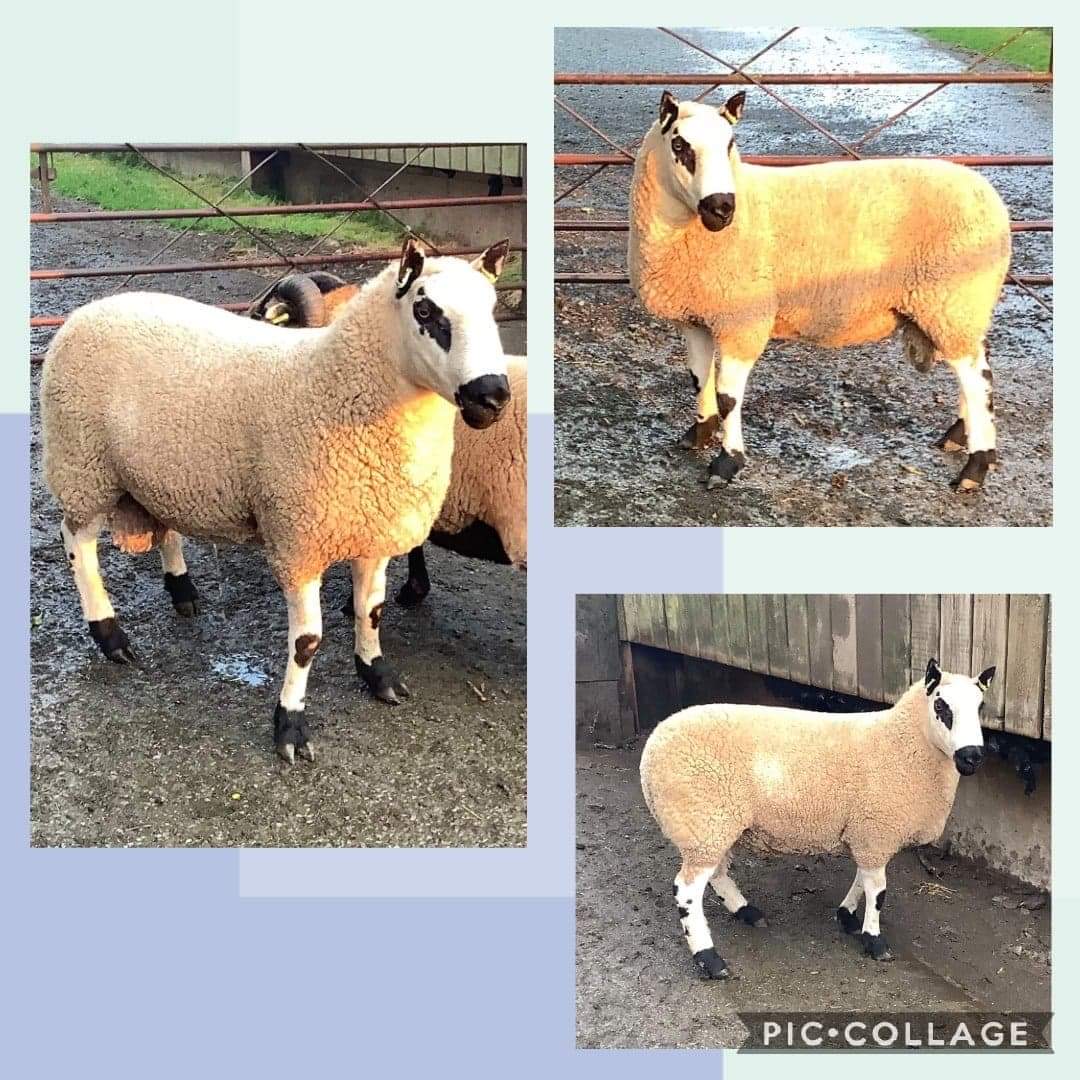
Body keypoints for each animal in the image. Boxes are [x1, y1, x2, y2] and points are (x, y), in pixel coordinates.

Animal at [628, 90, 1012, 492]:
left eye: (731, 144)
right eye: (679, 145)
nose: (722, 207)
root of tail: (990, 198)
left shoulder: (743, 319)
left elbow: (728, 396)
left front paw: (727, 463)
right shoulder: (696, 316)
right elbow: (698, 380)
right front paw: (698, 434)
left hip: (952, 298)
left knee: (977, 378)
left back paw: (975, 467)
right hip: (958, 306)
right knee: (977, 366)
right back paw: (960, 434)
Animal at [639, 658, 996, 979]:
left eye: (980, 707)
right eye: (941, 706)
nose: (972, 756)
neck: (903, 743)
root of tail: (652, 747)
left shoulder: (866, 831)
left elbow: (862, 878)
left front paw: (847, 916)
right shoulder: (876, 830)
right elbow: (878, 890)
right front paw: (874, 941)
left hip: (714, 827)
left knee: (717, 874)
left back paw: (747, 912)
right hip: (704, 818)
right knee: (686, 890)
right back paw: (709, 958)